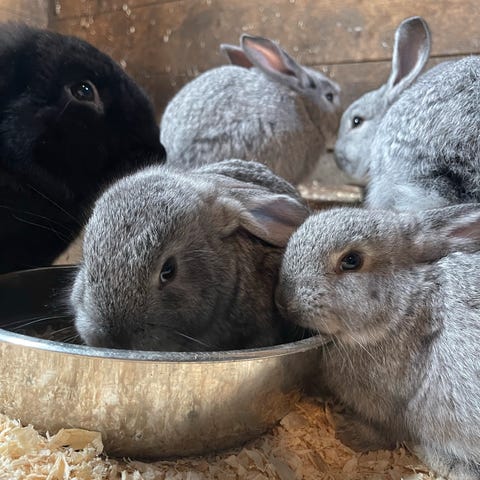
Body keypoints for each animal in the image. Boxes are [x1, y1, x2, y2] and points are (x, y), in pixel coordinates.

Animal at [276, 204, 480, 479]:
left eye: (351, 260)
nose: (283, 300)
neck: (406, 308)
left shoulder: (394, 408)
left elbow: (385, 434)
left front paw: (347, 433)